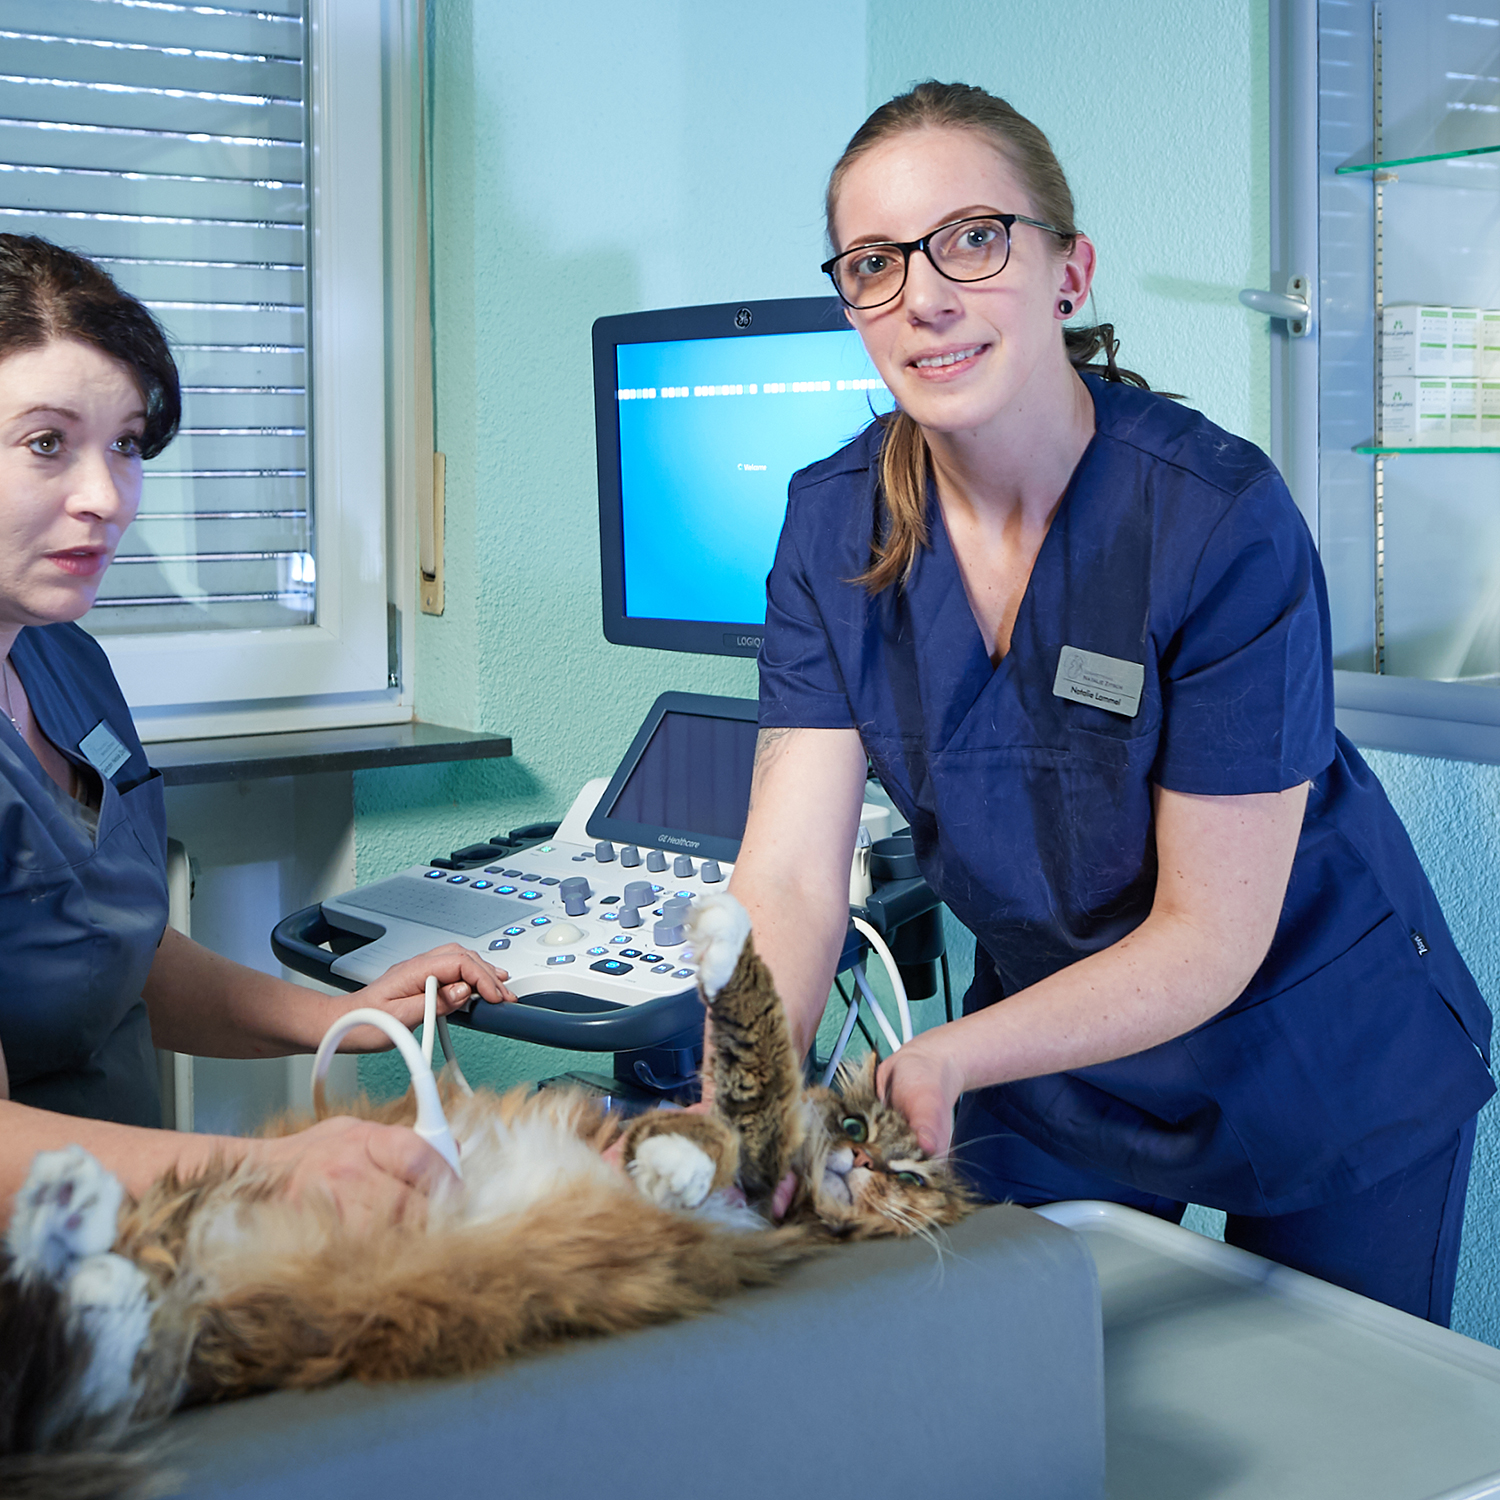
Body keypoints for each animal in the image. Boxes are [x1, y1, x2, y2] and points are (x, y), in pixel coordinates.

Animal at [0, 894, 972, 1494]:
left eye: (910, 1177)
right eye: (858, 1125)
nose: (864, 1163)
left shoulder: (760, 1169)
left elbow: (759, 1053)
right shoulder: (722, 1135)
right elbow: (734, 1060)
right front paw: (723, 930)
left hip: (178, 1328)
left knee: (101, 1343)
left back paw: (73, 1214)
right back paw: (67, 1197)